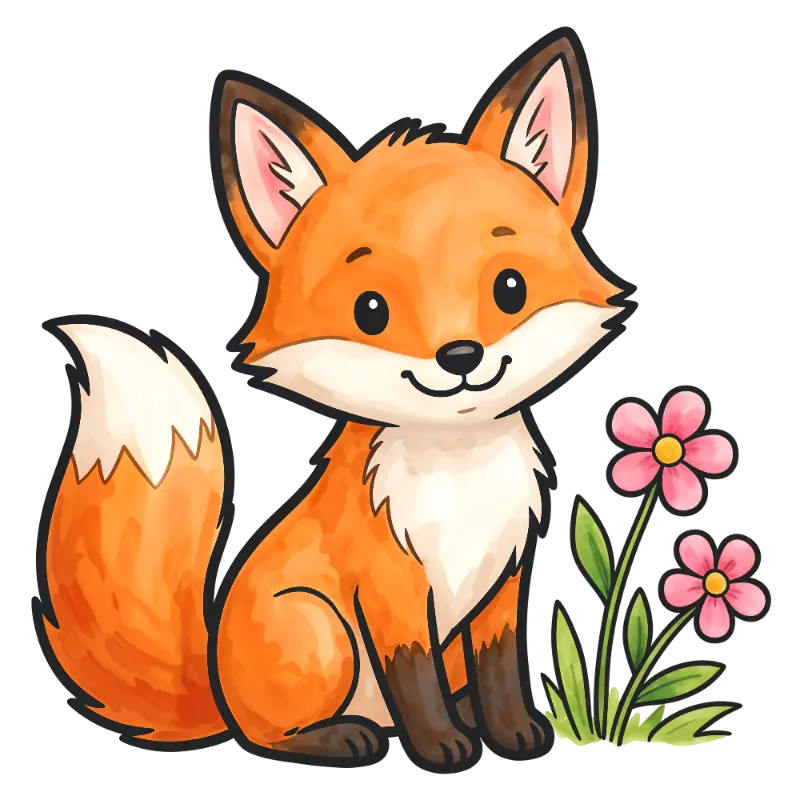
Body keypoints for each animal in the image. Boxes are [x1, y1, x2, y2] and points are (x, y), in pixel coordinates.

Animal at [36, 31, 626, 768]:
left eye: (510, 289)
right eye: (370, 310)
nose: (461, 357)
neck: (457, 477)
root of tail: (215, 682)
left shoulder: (501, 586)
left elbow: (498, 674)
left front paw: (515, 732)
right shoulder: (391, 592)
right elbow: (414, 684)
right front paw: (440, 747)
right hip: (321, 632)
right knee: (274, 732)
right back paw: (345, 736)